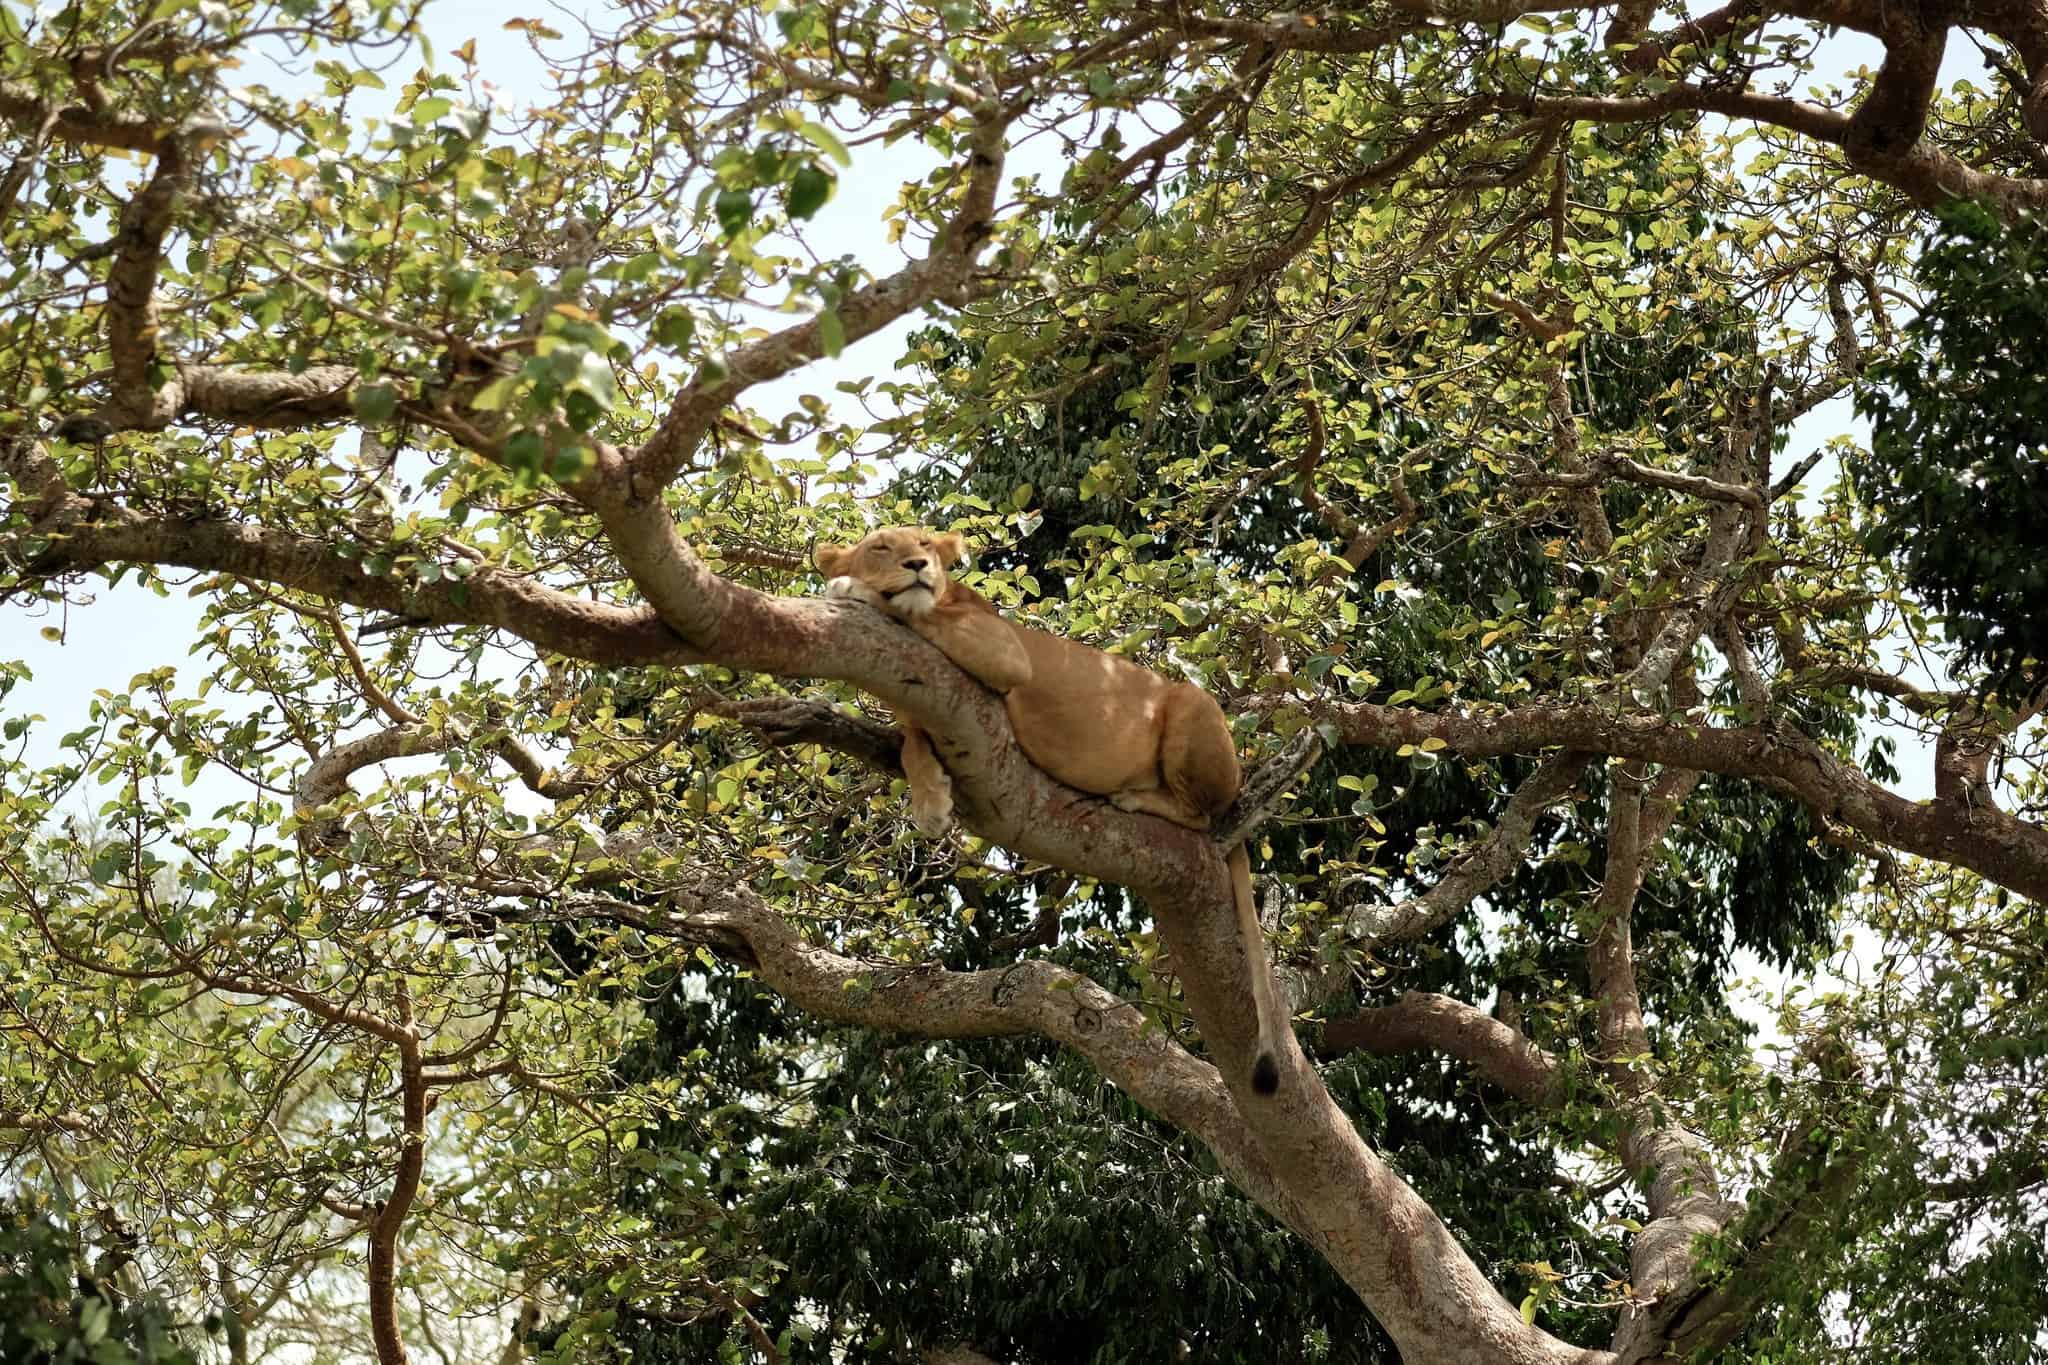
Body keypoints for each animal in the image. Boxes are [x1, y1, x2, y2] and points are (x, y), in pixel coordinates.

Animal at [814, 525, 1288, 1096]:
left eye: (925, 544)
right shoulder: (927, 711)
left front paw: (852, 590)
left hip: (1193, 704)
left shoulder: (1005, 653)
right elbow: (910, 746)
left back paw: (1133, 797)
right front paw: (931, 803)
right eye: (880, 548)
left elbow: (913, 612)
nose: (917, 565)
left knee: (1206, 814)